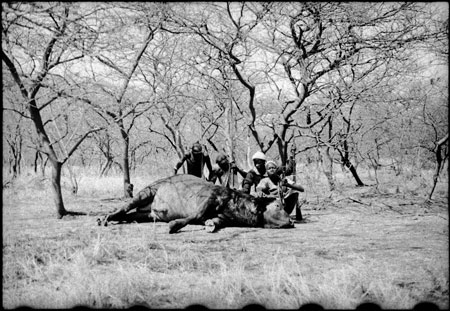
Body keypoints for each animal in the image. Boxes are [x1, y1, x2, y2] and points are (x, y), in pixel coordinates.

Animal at [97, 176, 296, 234]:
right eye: (278, 206)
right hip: (145, 193)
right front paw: (174, 225)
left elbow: (213, 222)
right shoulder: (208, 200)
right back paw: (105, 218)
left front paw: (210, 225)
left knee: (128, 215)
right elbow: (195, 216)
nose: (291, 221)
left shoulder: (221, 218)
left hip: (148, 214)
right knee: (123, 208)